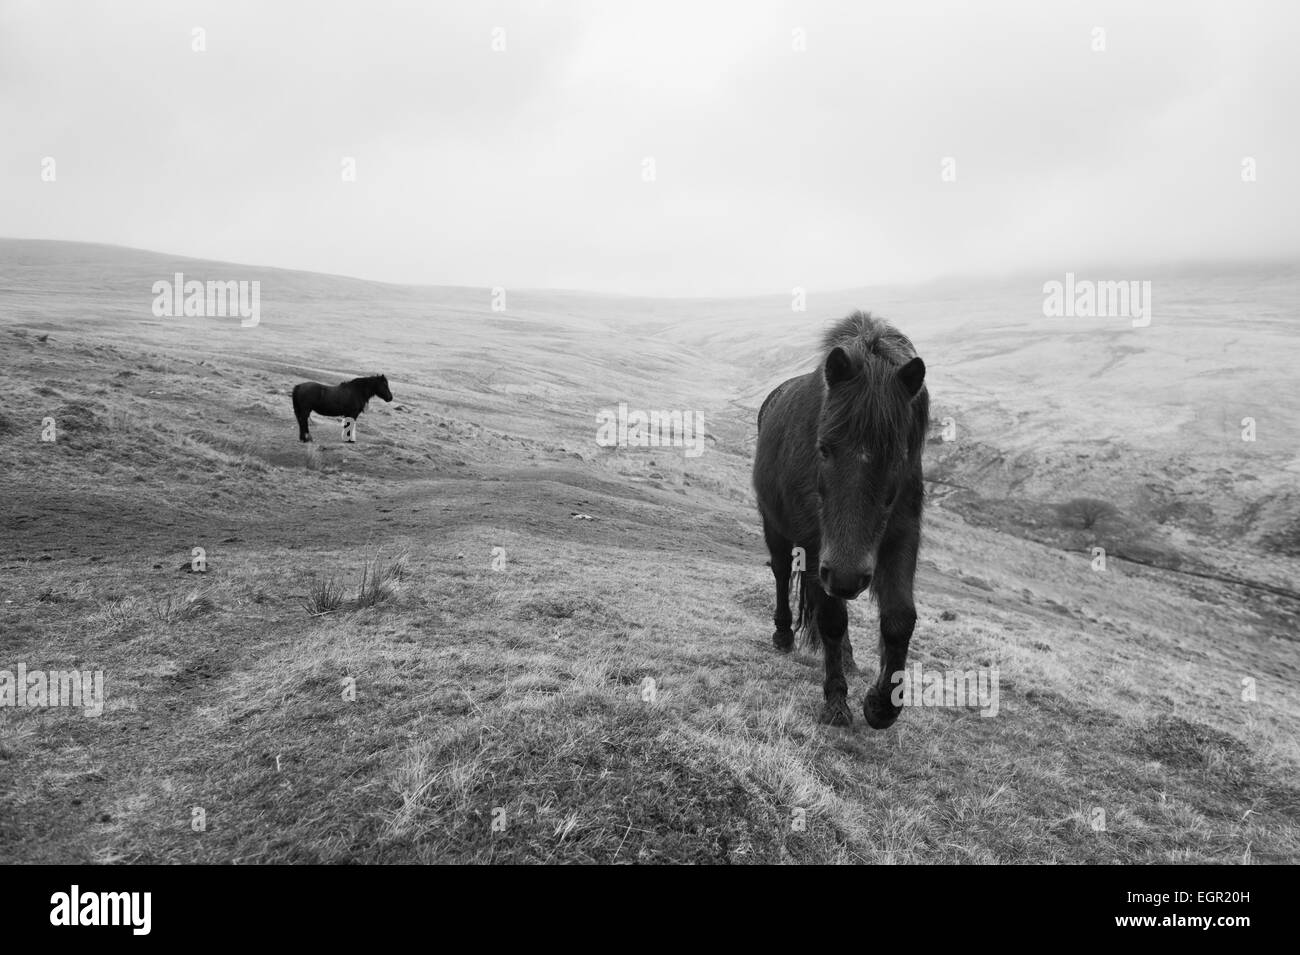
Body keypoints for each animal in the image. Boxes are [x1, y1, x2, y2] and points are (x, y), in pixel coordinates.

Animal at [752, 312, 928, 728]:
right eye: (823, 448)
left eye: (897, 456)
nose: (848, 576)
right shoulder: (818, 546)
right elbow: (831, 618)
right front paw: (836, 701)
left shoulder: (902, 532)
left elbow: (899, 618)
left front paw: (881, 706)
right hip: (776, 525)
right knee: (781, 572)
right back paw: (783, 635)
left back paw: (847, 659)